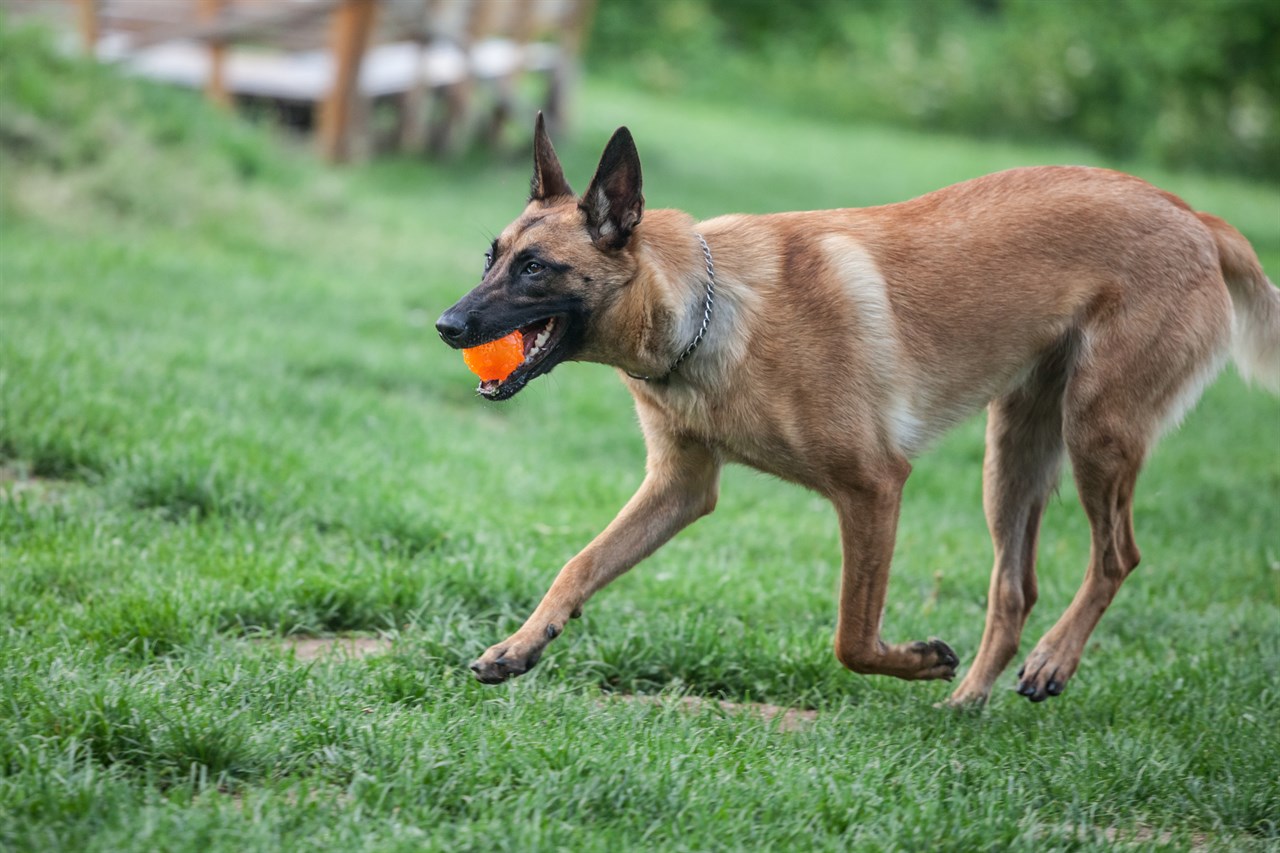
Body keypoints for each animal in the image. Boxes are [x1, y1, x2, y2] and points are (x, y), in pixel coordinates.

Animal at [437, 116, 1280, 706]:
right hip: (1013, 452)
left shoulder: (874, 488)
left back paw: (1050, 661)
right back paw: (968, 700)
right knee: (1015, 590)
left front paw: (917, 659)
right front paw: (520, 644)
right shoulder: (679, 488)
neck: (710, 309)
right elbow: (581, 562)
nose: (447, 325)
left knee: (1117, 555)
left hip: (1096, 431)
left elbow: (850, 634)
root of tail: (1196, 218)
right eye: (490, 256)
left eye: (535, 269)